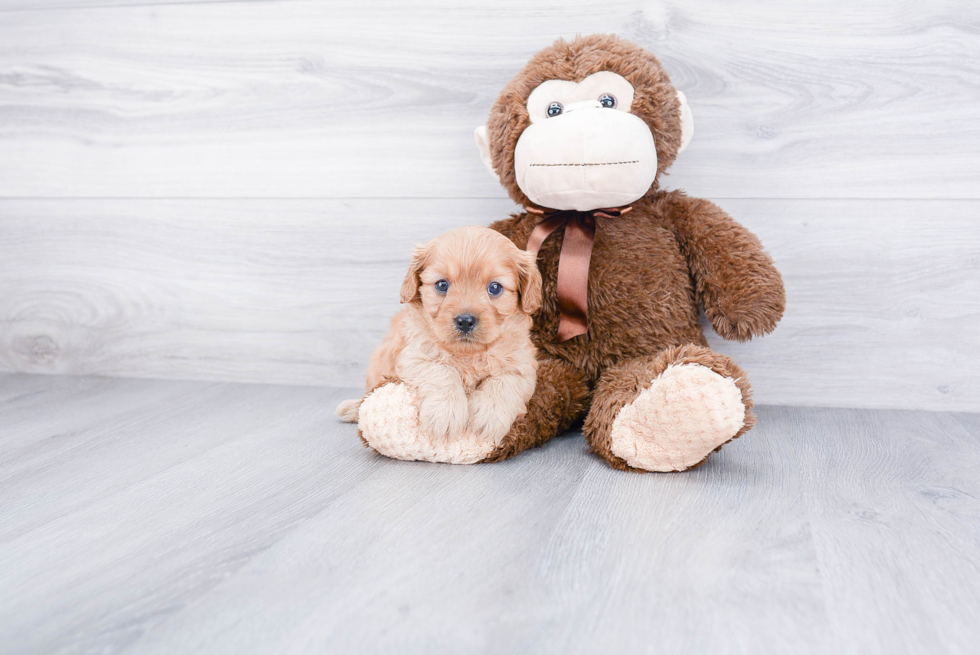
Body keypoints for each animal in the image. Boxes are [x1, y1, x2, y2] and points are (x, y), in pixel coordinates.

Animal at [334, 226, 536, 452]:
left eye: (495, 288)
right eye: (442, 285)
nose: (465, 321)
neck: (468, 354)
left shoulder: (523, 367)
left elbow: (503, 382)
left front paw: (489, 417)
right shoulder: (414, 356)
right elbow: (442, 371)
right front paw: (445, 415)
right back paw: (351, 408)